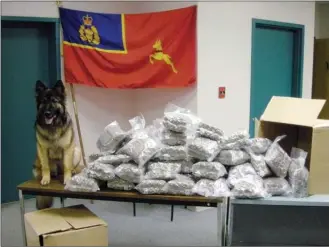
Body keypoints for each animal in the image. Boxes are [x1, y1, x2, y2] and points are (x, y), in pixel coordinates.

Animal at [33, 80, 83, 209]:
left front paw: (67, 178)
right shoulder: (42, 148)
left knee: (70, 166)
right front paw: (46, 178)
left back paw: (72, 171)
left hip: (77, 151)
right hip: (38, 155)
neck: (53, 126)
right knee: (42, 168)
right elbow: (45, 166)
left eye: (54, 101)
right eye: (44, 101)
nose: (47, 113)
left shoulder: (68, 147)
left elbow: (67, 165)